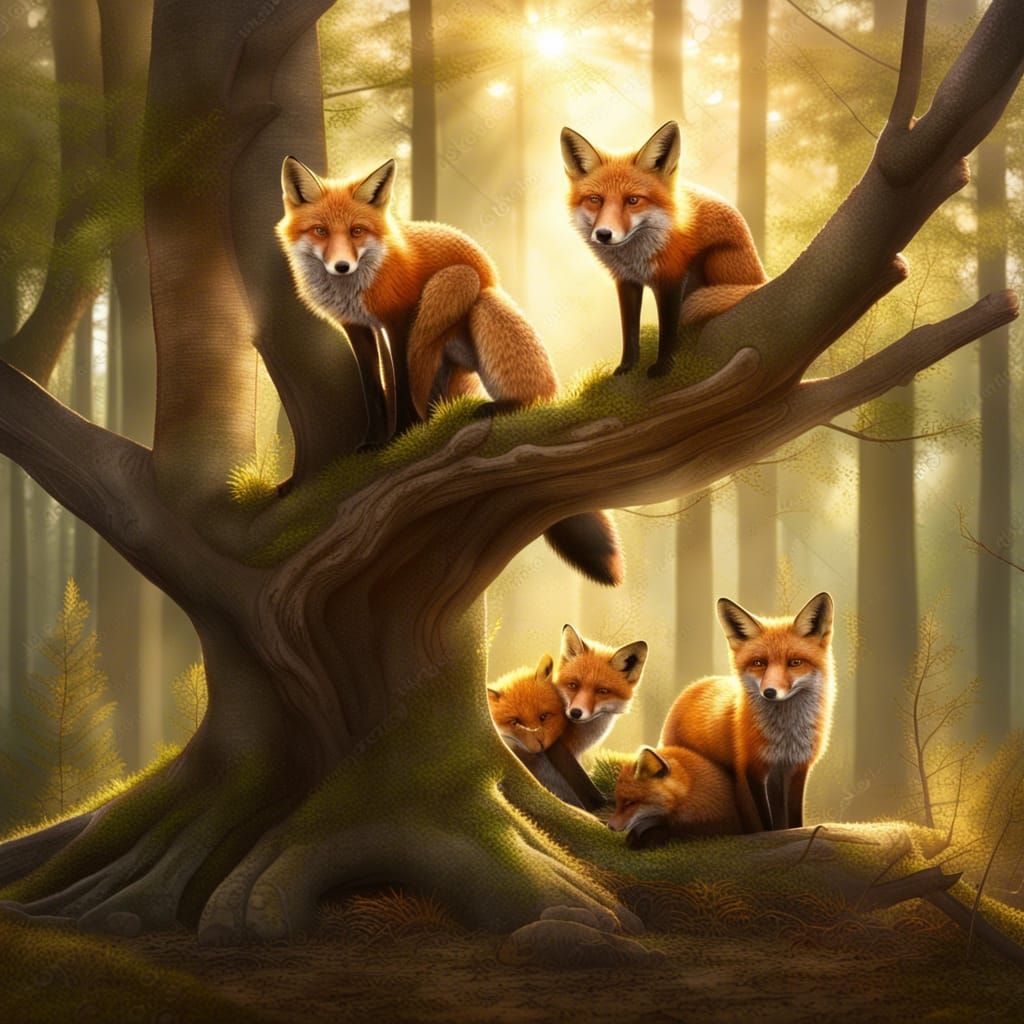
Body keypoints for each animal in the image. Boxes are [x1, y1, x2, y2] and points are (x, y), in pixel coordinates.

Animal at [278, 155, 622, 585]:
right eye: (320, 230)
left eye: (357, 230)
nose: (341, 266)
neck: (359, 283)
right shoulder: (357, 327)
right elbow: (374, 388)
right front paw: (373, 441)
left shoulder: (400, 318)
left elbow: (398, 380)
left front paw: (401, 436)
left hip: (468, 294)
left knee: (535, 392)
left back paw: (504, 406)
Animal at [560, 120, 767, 378]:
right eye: (595, 199)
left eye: (633, 200)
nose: (604, 234)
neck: (635, 258)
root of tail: (763, 277)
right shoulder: (626, 281)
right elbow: (629, 330)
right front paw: (627, 366)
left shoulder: (673, 277)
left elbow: (667, 330)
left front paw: (663, 368)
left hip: (715, 260)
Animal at [660, 592, 835, 833]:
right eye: (759, 663)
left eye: (795, 662)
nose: (770, 692)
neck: (785, 735)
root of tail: (695, 684)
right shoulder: (753, 769)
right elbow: (765, 820)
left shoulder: (797, 769)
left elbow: (793, 819)